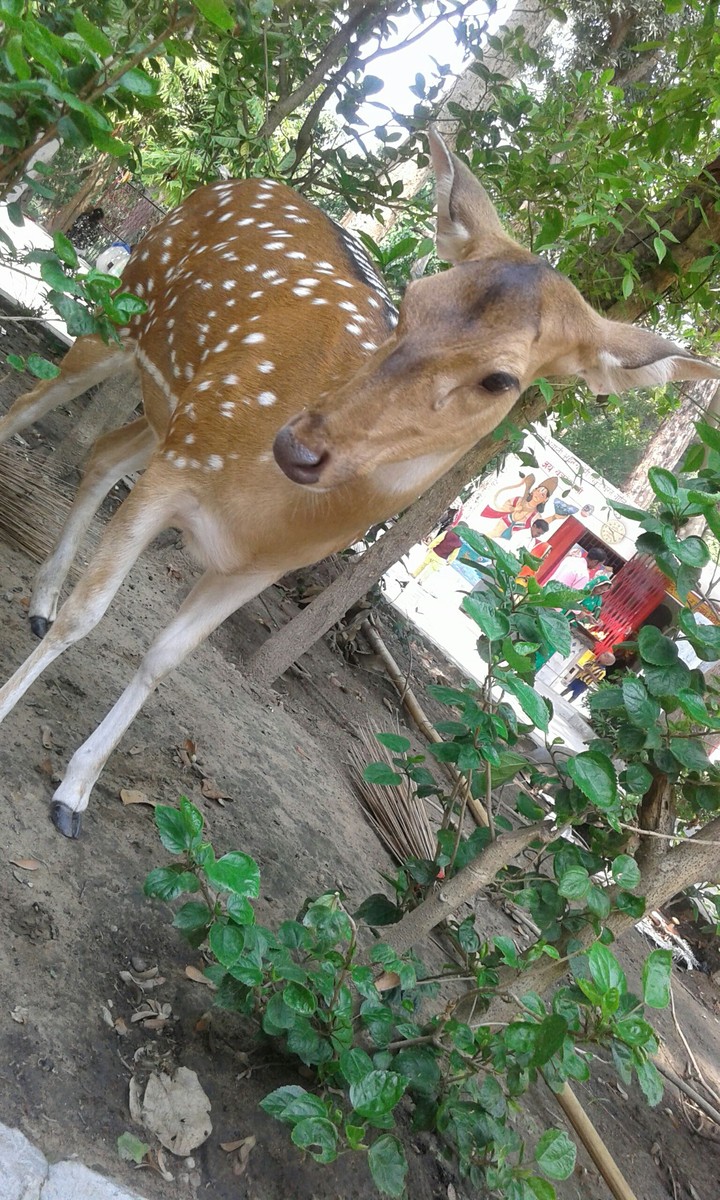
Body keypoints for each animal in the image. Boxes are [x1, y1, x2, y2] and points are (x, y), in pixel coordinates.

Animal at [1, 127, 718, 838]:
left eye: (500, 379)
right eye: (413, 301)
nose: (295, 444)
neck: (270, 514)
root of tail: (241, 181)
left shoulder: (255, 562)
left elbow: (165, 657)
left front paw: (74, 794)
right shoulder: (180, 471)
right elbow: (87, 615)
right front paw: (15, 711)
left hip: (169, 411)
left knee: (103, 454)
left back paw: (39, 602)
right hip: (120, 316)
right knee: (29, 405)